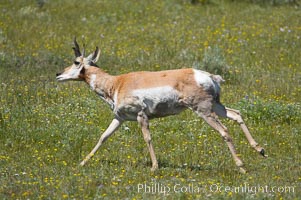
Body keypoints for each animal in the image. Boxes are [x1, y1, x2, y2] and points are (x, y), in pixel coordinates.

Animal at [56, 39, 264, 173]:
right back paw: (260, 149)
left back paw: (242, 166)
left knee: (224, 131)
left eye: (75, 61)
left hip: (204, 111)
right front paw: (82, 163)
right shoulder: (119, 118)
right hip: (216, 106)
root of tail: (209, 76)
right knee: (236, 114)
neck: (116, 83)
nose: (58, 74)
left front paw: (155, 167)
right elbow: (103, 137)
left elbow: (147, 138)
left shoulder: (141, 115)